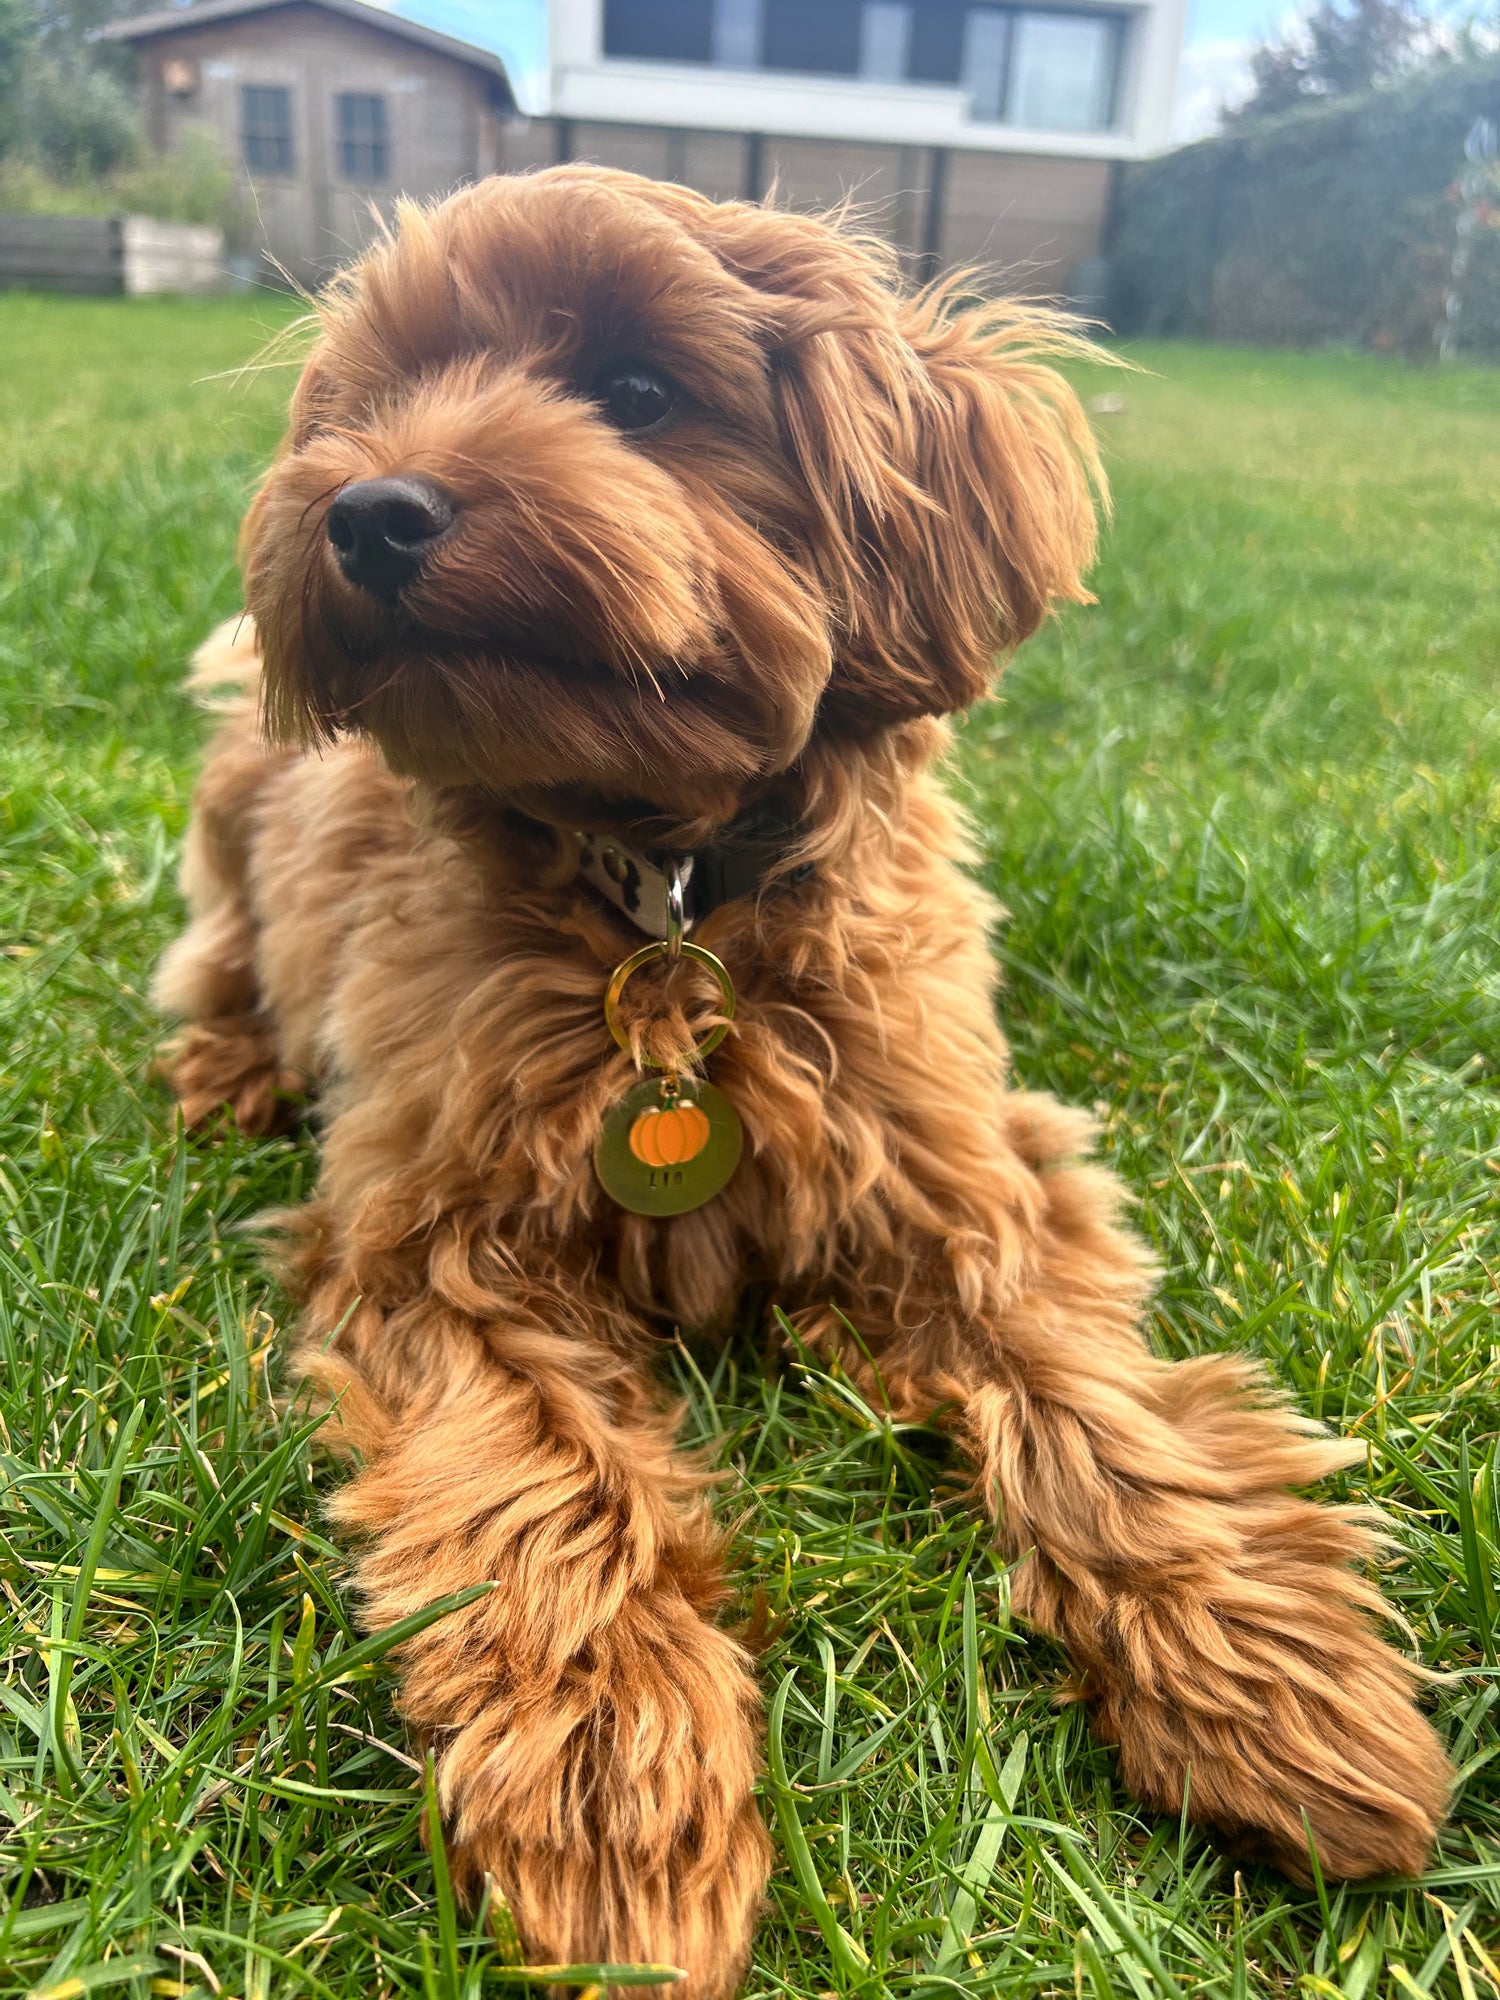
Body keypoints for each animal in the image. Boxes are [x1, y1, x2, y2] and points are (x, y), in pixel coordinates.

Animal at [150, 168, 1448, 1984]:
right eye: (374, 398)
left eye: (637, 392)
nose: (369, 510)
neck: (667, 901)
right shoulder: (432, 1253)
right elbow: (552, 1491)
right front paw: (616, 1796)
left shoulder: (975, 1173)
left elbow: (1103, 1407)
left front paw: (1276, 1676)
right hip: (237, 845)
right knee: (217, 963)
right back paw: (224, 1067)